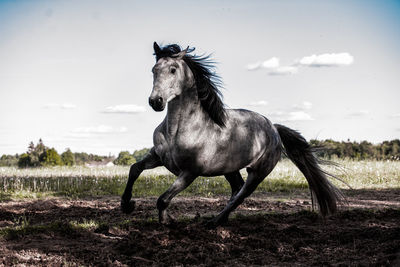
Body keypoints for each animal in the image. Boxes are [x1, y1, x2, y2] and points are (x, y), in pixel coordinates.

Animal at [119, 42, 344, 228]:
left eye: (173, 69)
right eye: (154, 70)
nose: (155, 101)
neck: (178, 130)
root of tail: (273, 127)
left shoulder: (190, 172)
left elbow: (163, 199)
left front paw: (168, 221)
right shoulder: (157, 157)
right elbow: (134, 169)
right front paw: (127, 205)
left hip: (258, 172)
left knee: (241, 195)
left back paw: (214, 222)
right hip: (230, 168)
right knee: (236, 189)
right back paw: (220, 219)